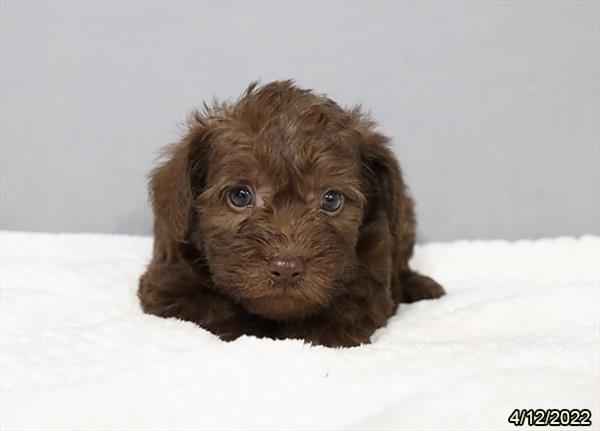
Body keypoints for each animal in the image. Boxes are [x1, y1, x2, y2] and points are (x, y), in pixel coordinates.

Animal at [138, 81, 442, 348]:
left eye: (331, 200)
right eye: (240, 195)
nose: (286, 268)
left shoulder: (373, 264)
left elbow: (350, 302)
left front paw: (325, 333)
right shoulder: (167, 283)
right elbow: (214, 307)